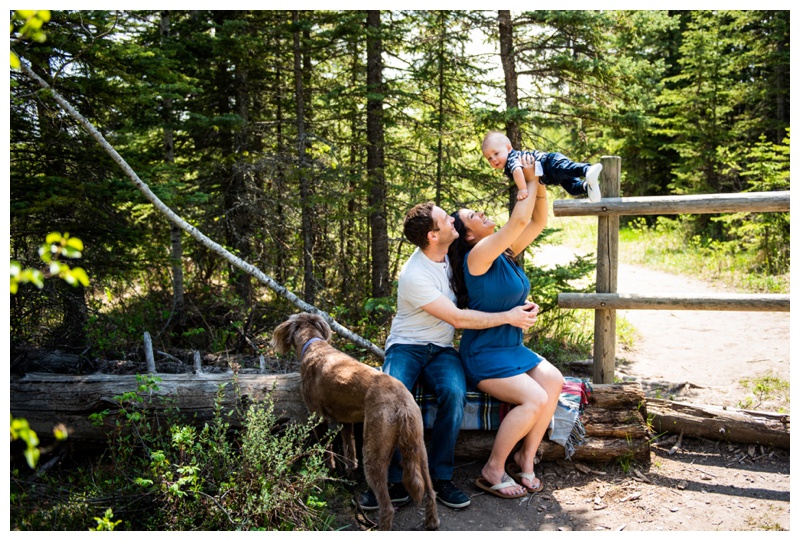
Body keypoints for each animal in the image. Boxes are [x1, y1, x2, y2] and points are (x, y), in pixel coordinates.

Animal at [272, 310, 440, 528]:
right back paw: (432, 522)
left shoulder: (318, 418)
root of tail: (402, 403)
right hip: (419, 447)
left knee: (387, 507)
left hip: (374, 450)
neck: (313, 344)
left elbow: (326, 451)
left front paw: (326, 474)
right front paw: (348, 478)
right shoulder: (346, 421)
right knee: (430, 492)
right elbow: (350, 454)